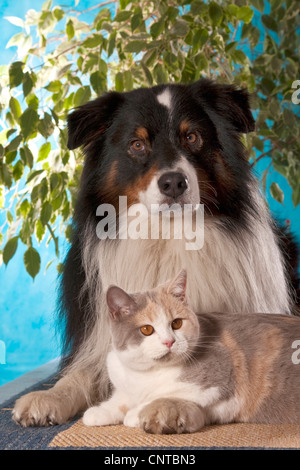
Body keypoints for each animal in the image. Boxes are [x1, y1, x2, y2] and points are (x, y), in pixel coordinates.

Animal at [82, 268, 300, 434]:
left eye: (176, 323)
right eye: (146, 329)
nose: (169, 341)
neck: (147, 373)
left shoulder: (219, 378)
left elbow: (166, 393)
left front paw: (136, 414)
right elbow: (120, 399)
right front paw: (99, 412)